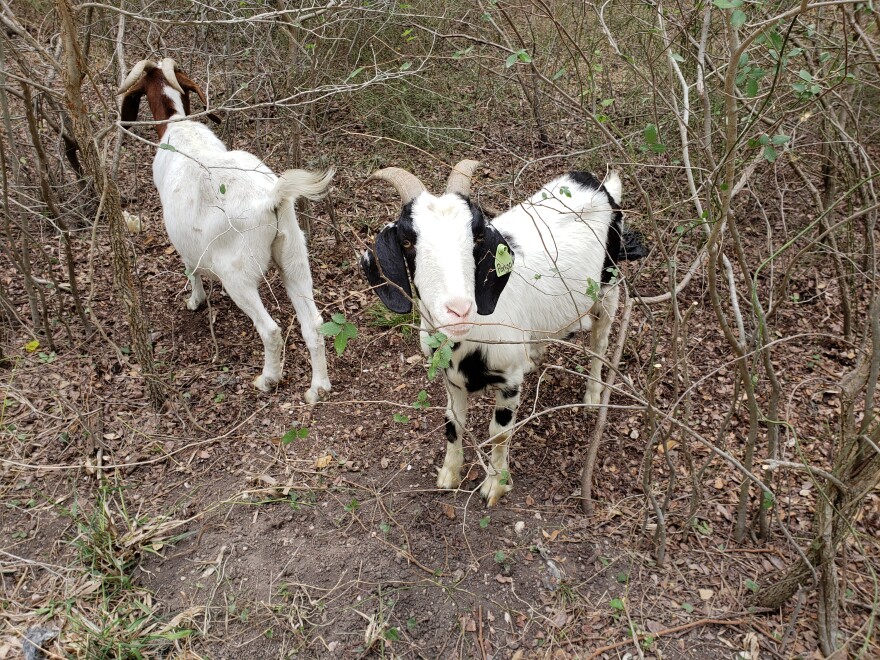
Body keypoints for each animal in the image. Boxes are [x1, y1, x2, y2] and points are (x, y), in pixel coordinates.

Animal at [118, 59, 332, 404]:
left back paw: (268, 379)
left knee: (270, 330)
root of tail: (270, 199)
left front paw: (195, 301)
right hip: (294, 258)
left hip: (238, 276)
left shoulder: (184, 241)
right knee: (313, 323)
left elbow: (190, 269)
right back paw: (318, 387)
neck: (178, 126)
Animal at [360, 160, 644, 506]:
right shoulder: (449, 377)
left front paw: (495, 484)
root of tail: (598, 185)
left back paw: (592, 396)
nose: (459, 309)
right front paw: (449, 475)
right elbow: (452, 422)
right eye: (407, 242)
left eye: (476, 238)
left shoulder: (508, 380)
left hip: (607, 287)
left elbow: (499, 433)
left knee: (601, 341)